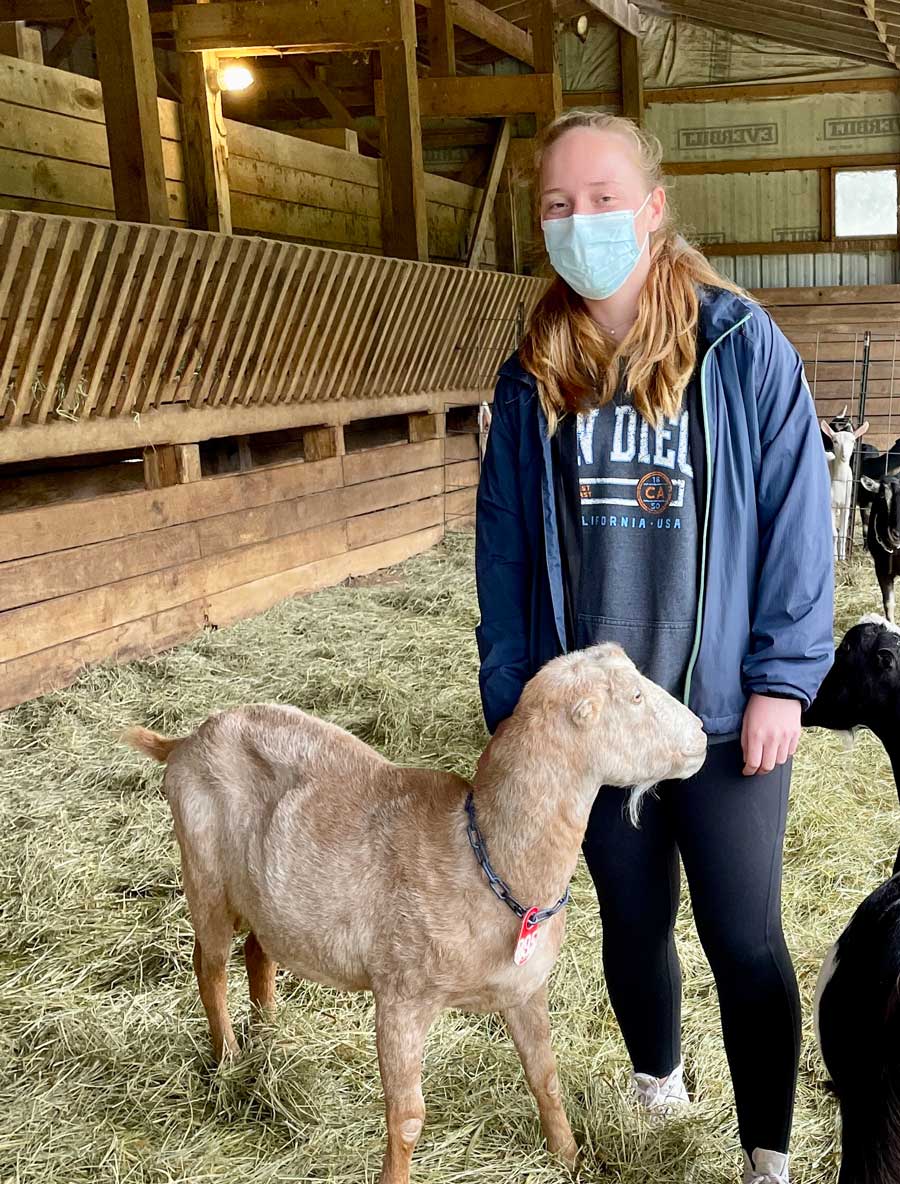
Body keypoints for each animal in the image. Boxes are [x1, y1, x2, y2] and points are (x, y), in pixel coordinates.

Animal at [124, 648, 701, 1184]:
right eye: (635, 697)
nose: (700, 731)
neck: (484, 854)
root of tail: (185, 741)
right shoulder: (401, 997)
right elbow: (407, 1117)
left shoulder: (524, 989)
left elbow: (546, 1077)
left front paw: (569, 1157)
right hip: (205, 874)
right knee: (210, 967)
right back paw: (229, 1059)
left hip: (268, 898)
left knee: (257, 953)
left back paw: (270, 1036)